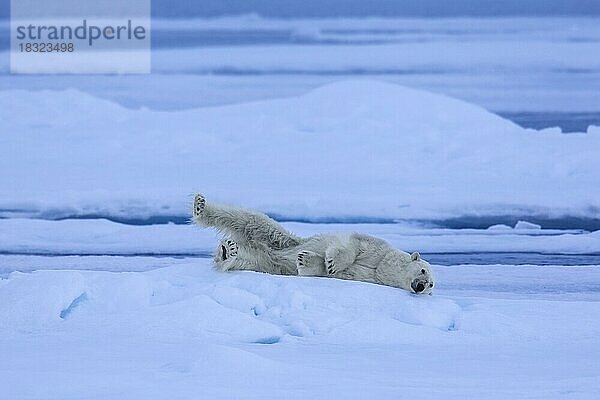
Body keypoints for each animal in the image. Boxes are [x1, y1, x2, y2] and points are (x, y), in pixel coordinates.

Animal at [192, 194, 436, 294]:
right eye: (423, 270)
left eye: (431, 285)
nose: (421, 286)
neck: (381, 268)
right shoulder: (376, 248)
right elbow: (352, 245)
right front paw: (332, 261)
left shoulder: (365, 278)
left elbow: (327, 273)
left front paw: (306, 261)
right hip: (281, 239)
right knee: (250, 220)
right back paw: (200, 206)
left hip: (268, 263)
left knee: (250, 259)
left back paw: (228, 252)